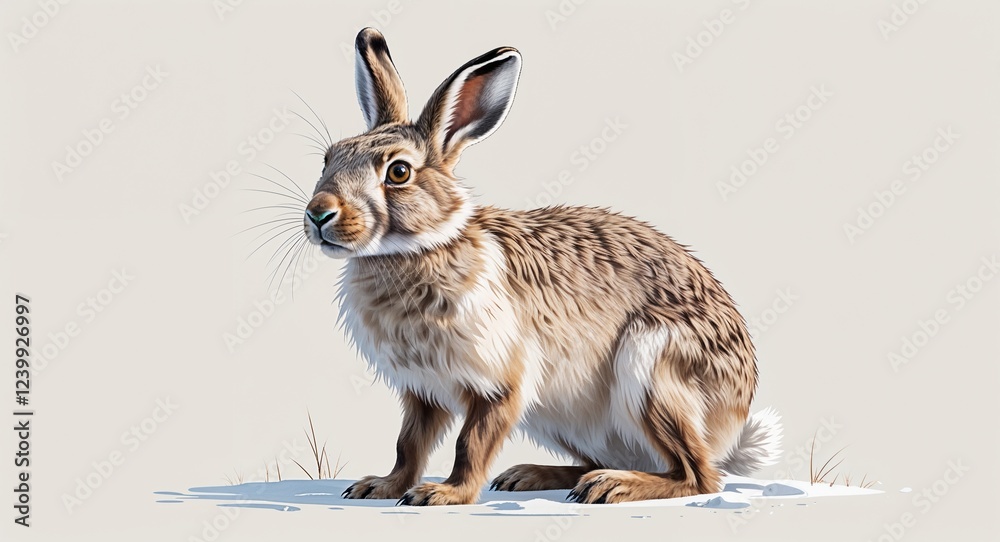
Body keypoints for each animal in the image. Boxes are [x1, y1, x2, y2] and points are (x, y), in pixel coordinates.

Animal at [303, 28, 782, 506]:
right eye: (329, 158)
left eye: (399, 172)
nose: (318, 214)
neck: (420, 247)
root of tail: (734, 423)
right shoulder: (422, 390)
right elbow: (409, 443)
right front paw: (381, 487)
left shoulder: (502, 380)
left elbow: (471, 442)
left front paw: (444, 495)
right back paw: (534, 476)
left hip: (651, 372)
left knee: (699, 475)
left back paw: (612, 486)